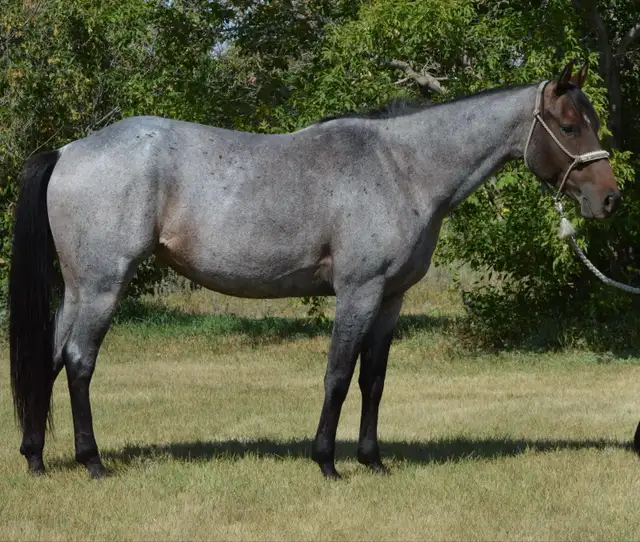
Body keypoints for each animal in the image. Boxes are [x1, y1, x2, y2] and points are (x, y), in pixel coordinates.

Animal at [9, 60, 620, 479]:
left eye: (590, 123)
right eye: (569, 126)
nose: (609, 199)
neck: (402, 169)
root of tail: (69, 151)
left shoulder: (391, 298)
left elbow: (374, 381)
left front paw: (373, 461)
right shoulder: (358, 292)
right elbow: (339, 375)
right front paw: (326, 462)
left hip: (77, 289)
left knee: (49, 361)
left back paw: (35, 457)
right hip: (102, 287)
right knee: (79, 362)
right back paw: (92, 462)